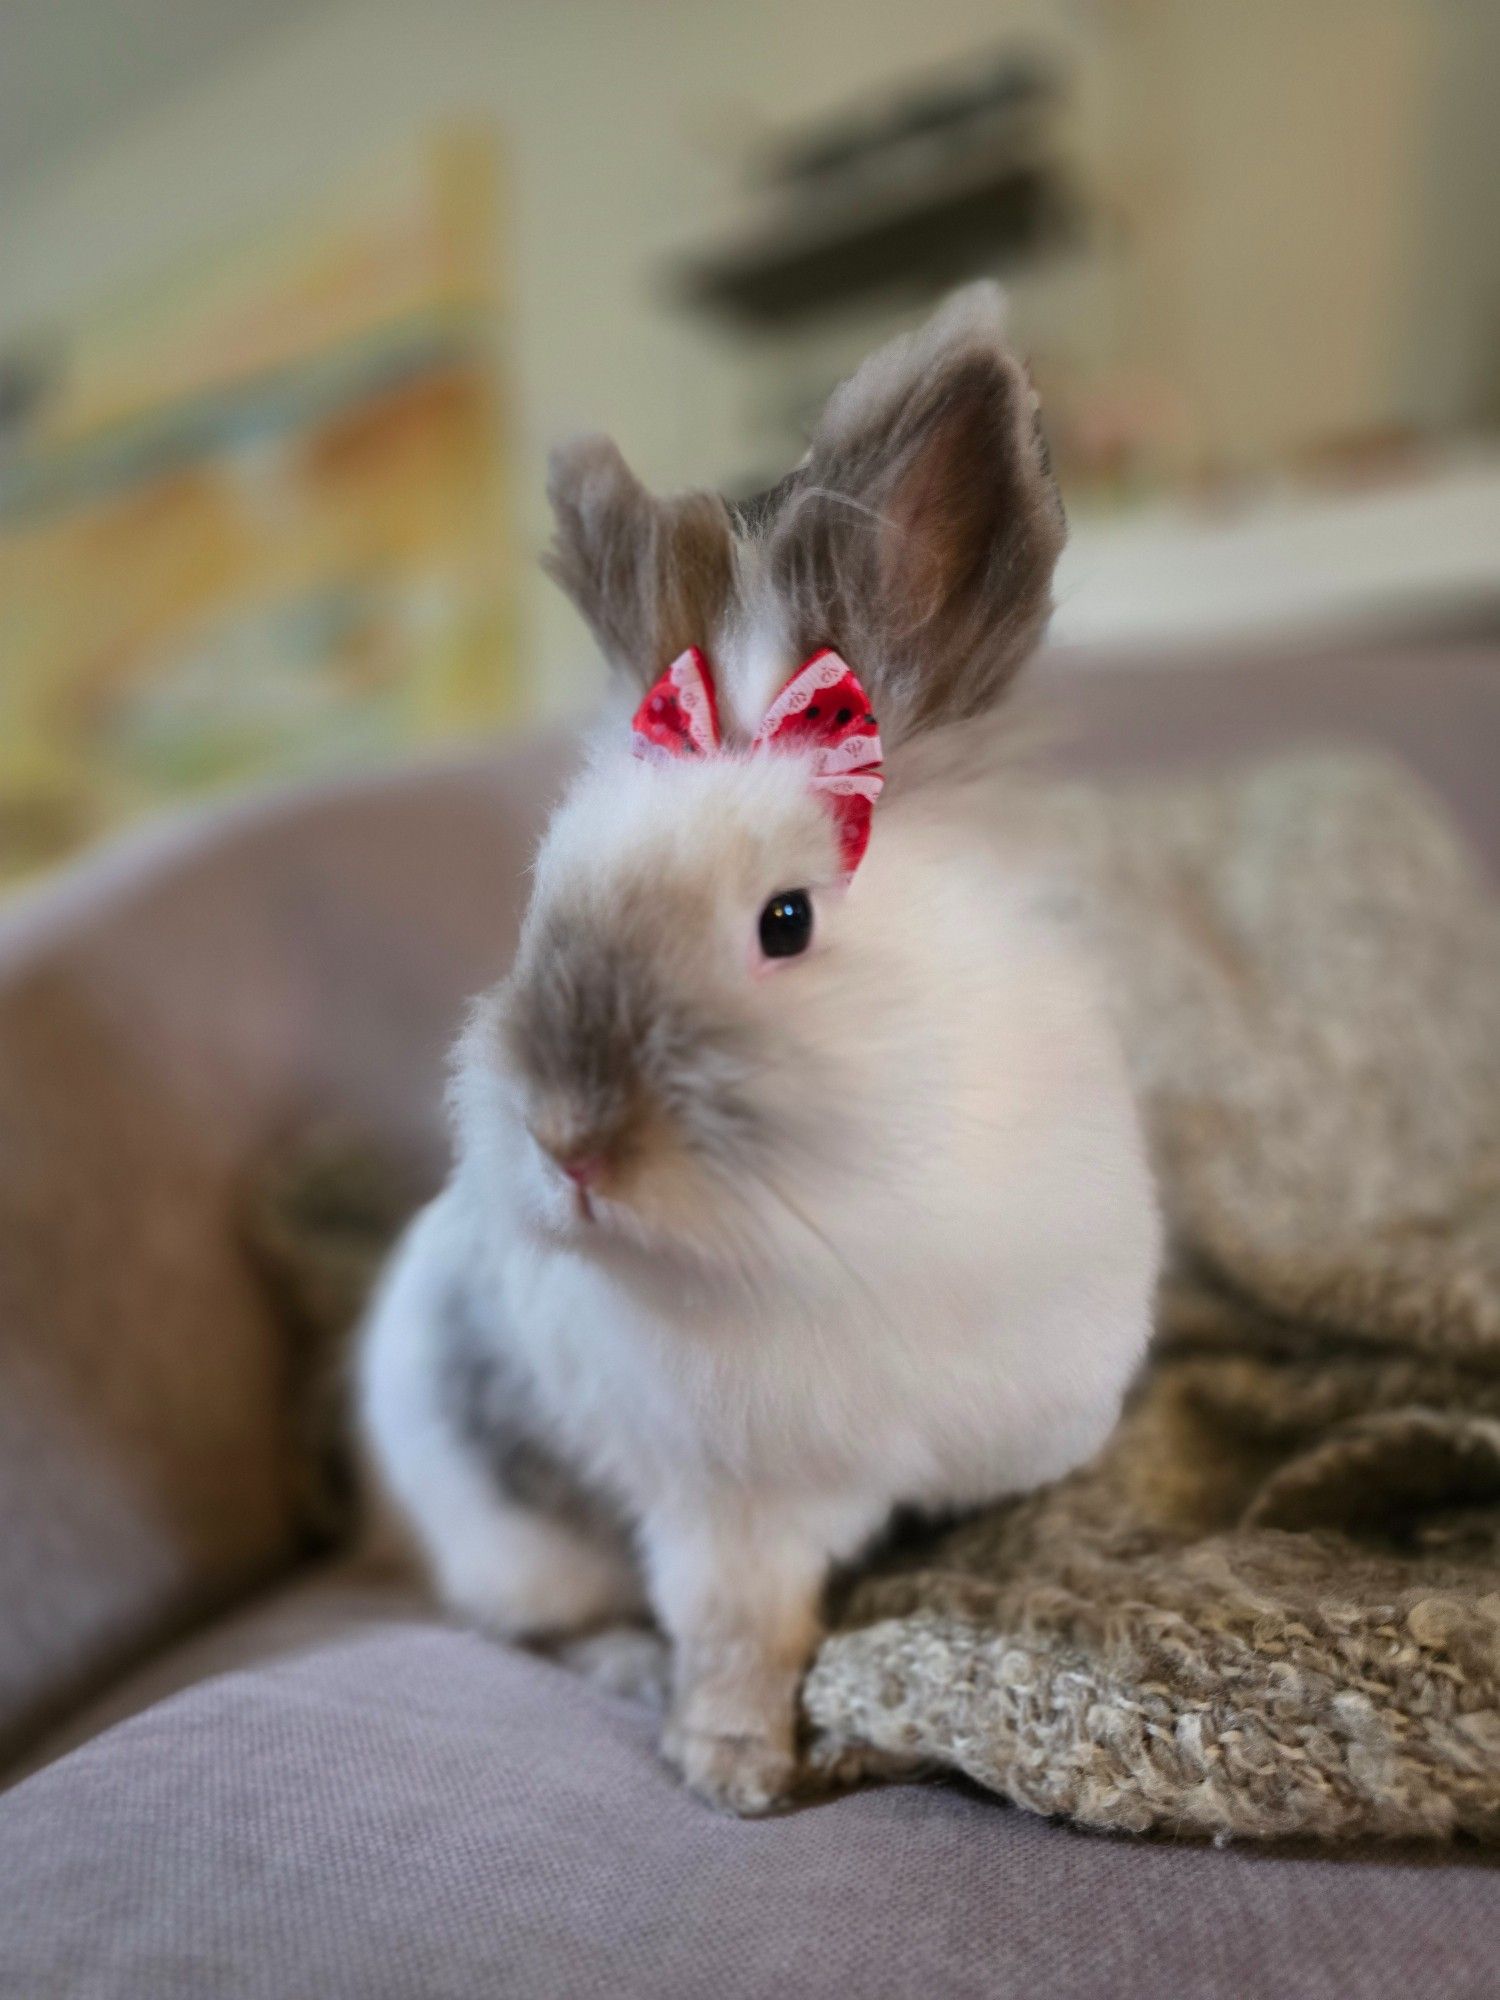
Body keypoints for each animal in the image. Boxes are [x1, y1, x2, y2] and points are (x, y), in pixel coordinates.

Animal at [362, 290, 1160, 1824]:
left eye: (784, 921)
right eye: (540, 903)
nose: (569, 1143)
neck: (853, 1211)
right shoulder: (726, 1509)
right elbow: (743, 1631)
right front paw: (733, 1763)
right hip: (507, 1527)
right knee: (540, 1622)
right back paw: (629, 1669)